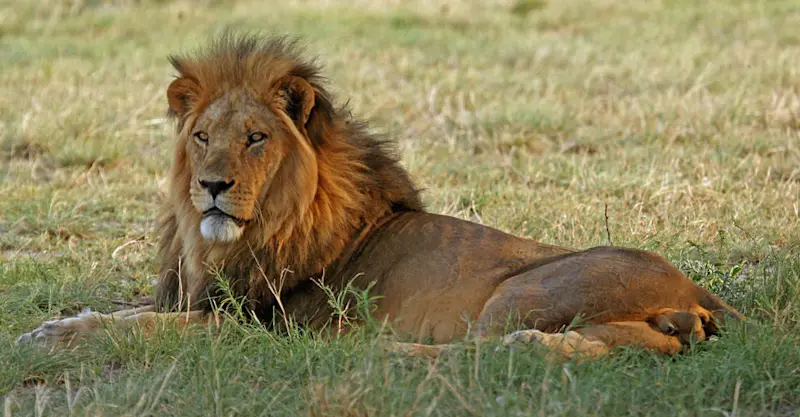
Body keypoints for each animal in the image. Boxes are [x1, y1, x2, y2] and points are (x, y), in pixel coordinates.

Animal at [17, 33, 744, 359]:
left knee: (490, 347)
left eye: (255, 138)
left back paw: (389, 351)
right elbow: (127, 309)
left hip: (522, 291)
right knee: (632, 343)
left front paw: (56, 333)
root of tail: (699, 291)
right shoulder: (204, 294)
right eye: (201, 137)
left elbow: (148, 324)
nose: (212, 187)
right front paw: (51, 323)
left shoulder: (258, 321)